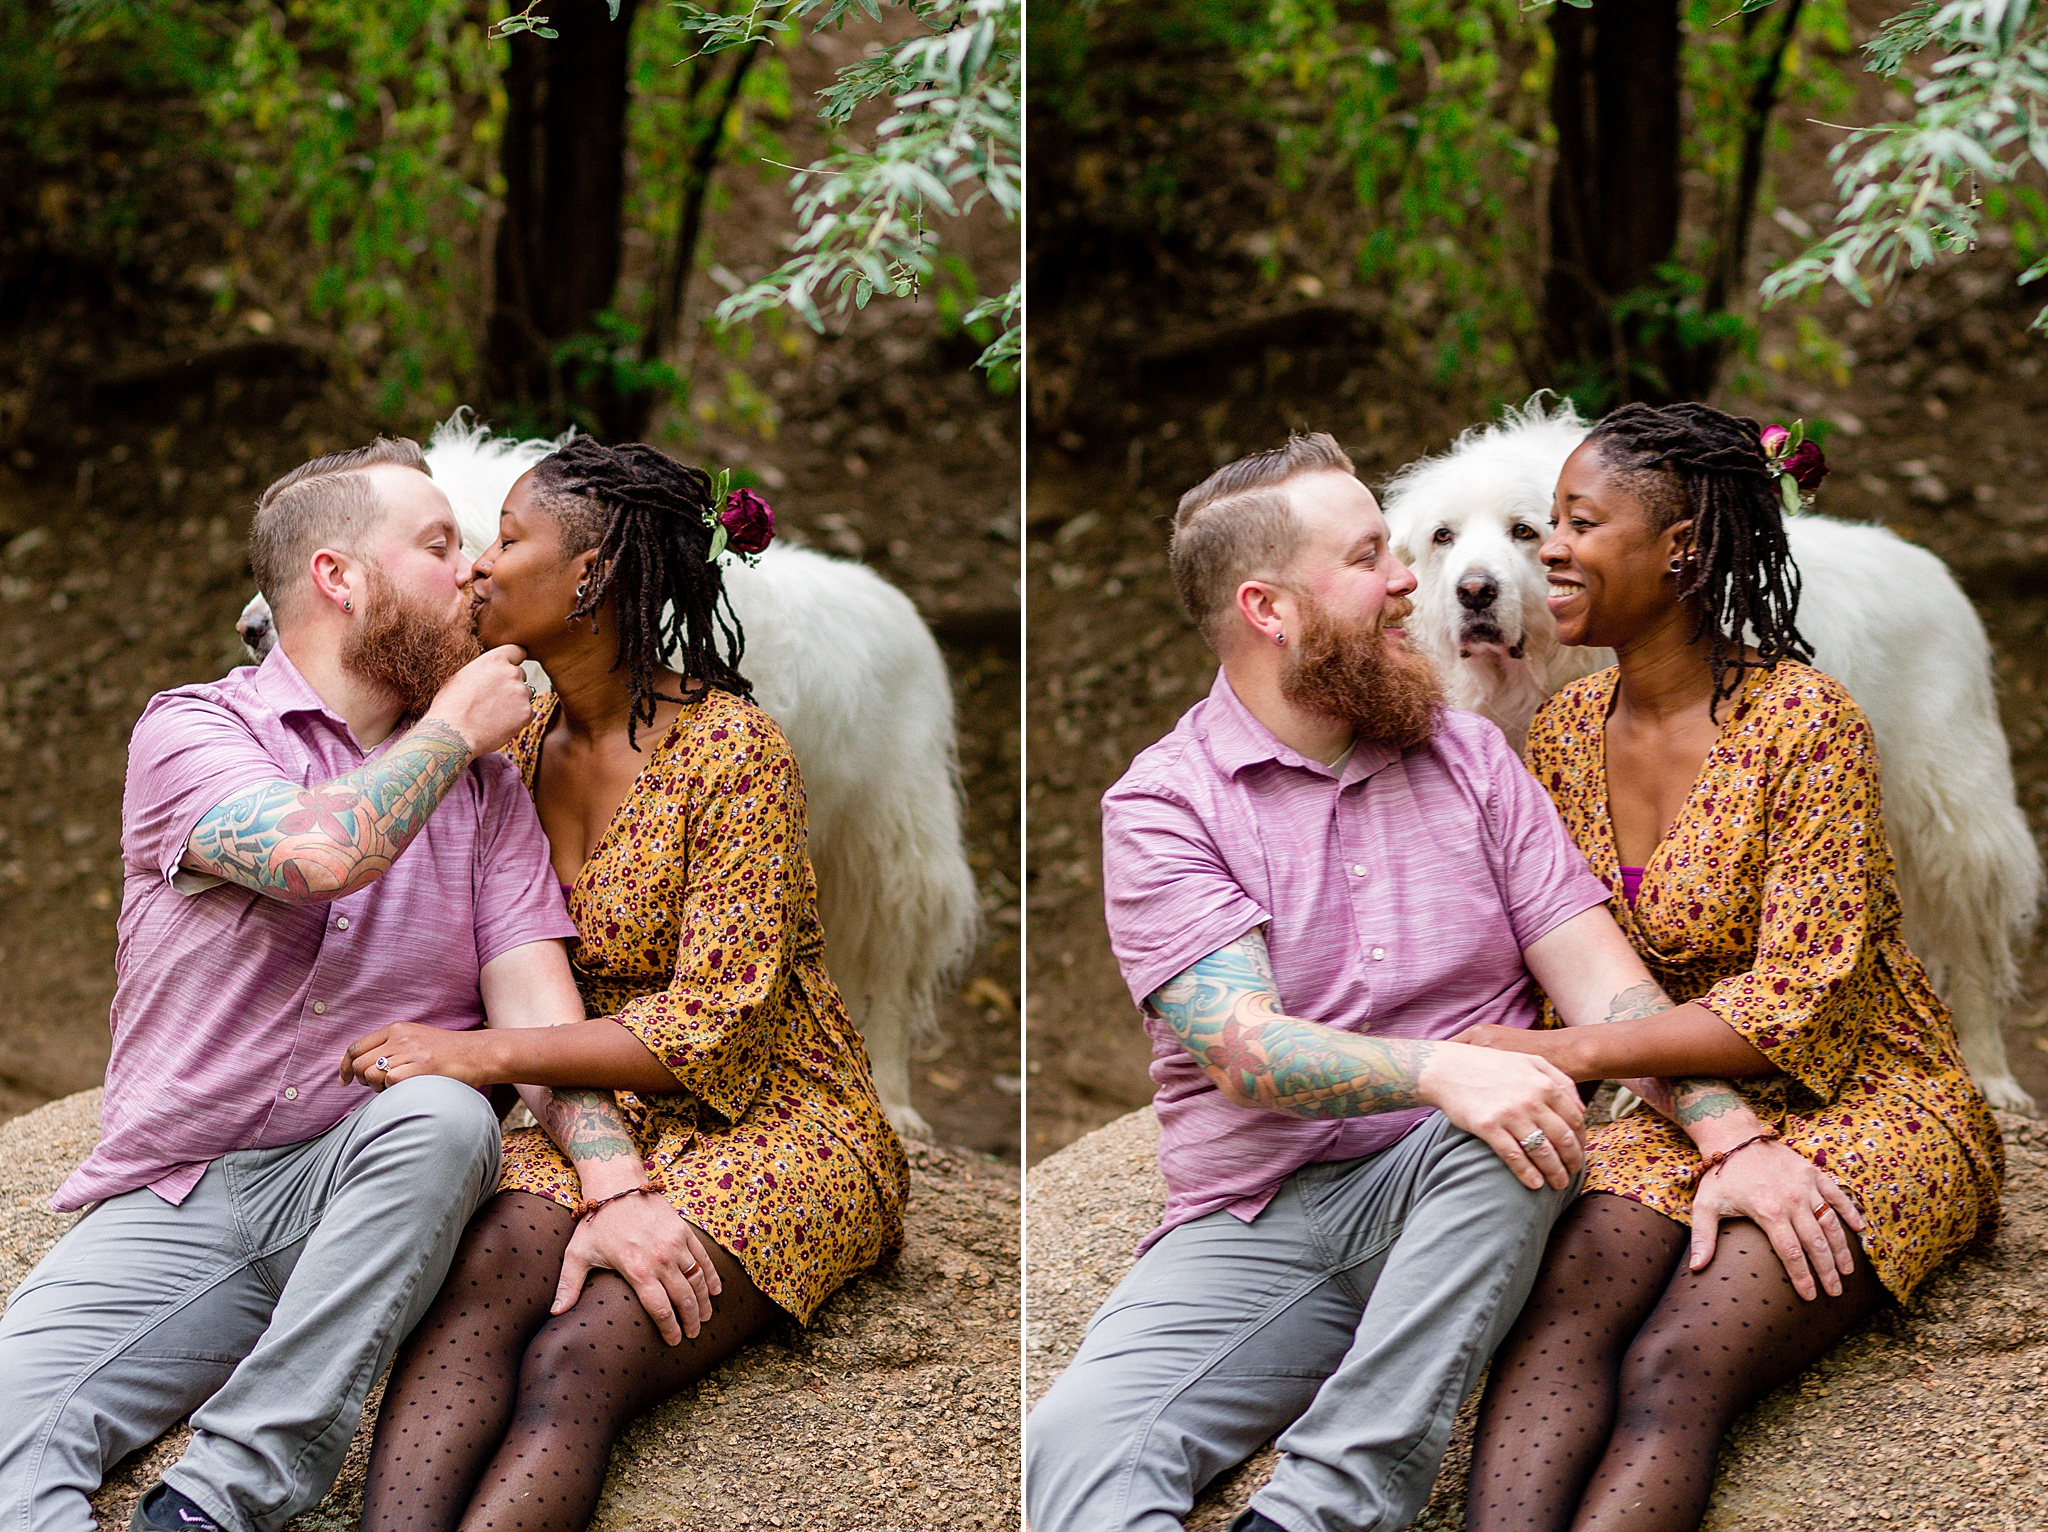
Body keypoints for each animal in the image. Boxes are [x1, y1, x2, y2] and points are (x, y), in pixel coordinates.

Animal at [1384, 395, 2039, 1114]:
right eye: (1443, 537)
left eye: (1525, 532)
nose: (1474, 591)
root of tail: (1930, 565)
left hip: (1950, 807)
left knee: (1971, 937)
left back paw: (1990, 1071)